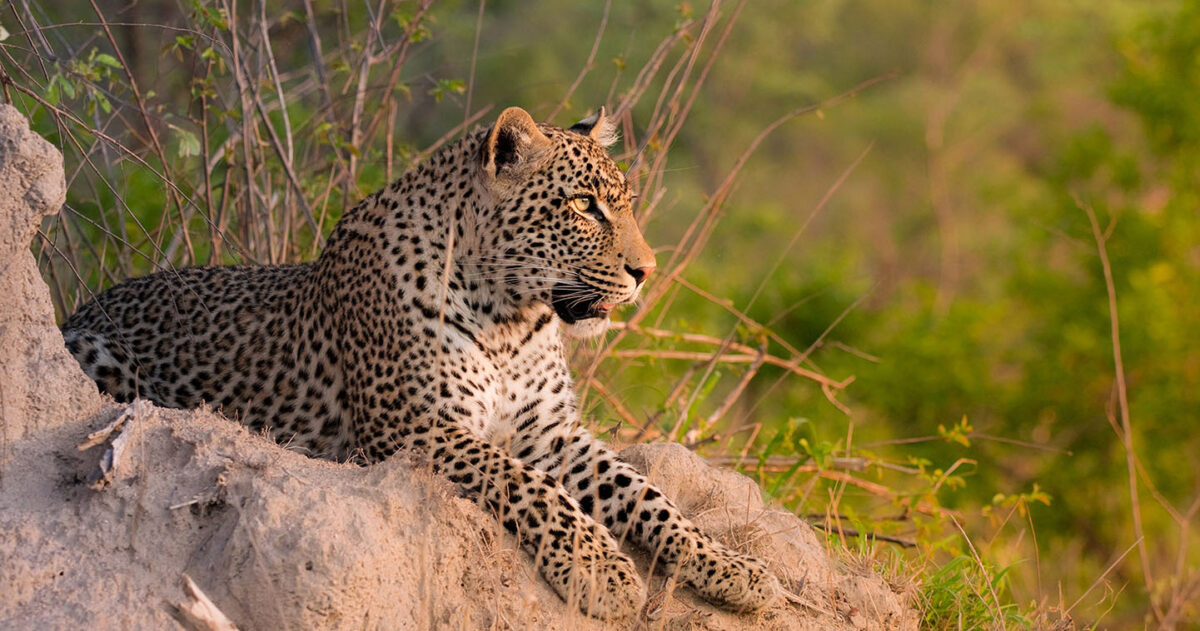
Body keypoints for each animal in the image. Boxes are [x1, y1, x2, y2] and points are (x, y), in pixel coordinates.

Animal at [61, 106, 782, 620]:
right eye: (583, 206)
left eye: (625, 203)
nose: (646, 270)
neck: (510, 319)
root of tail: (85, 303)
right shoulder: (414, 427)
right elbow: (528, 485)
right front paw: (600, 570)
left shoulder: (552, 433)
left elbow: (648, 494)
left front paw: (736, 568)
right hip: (94, 354)